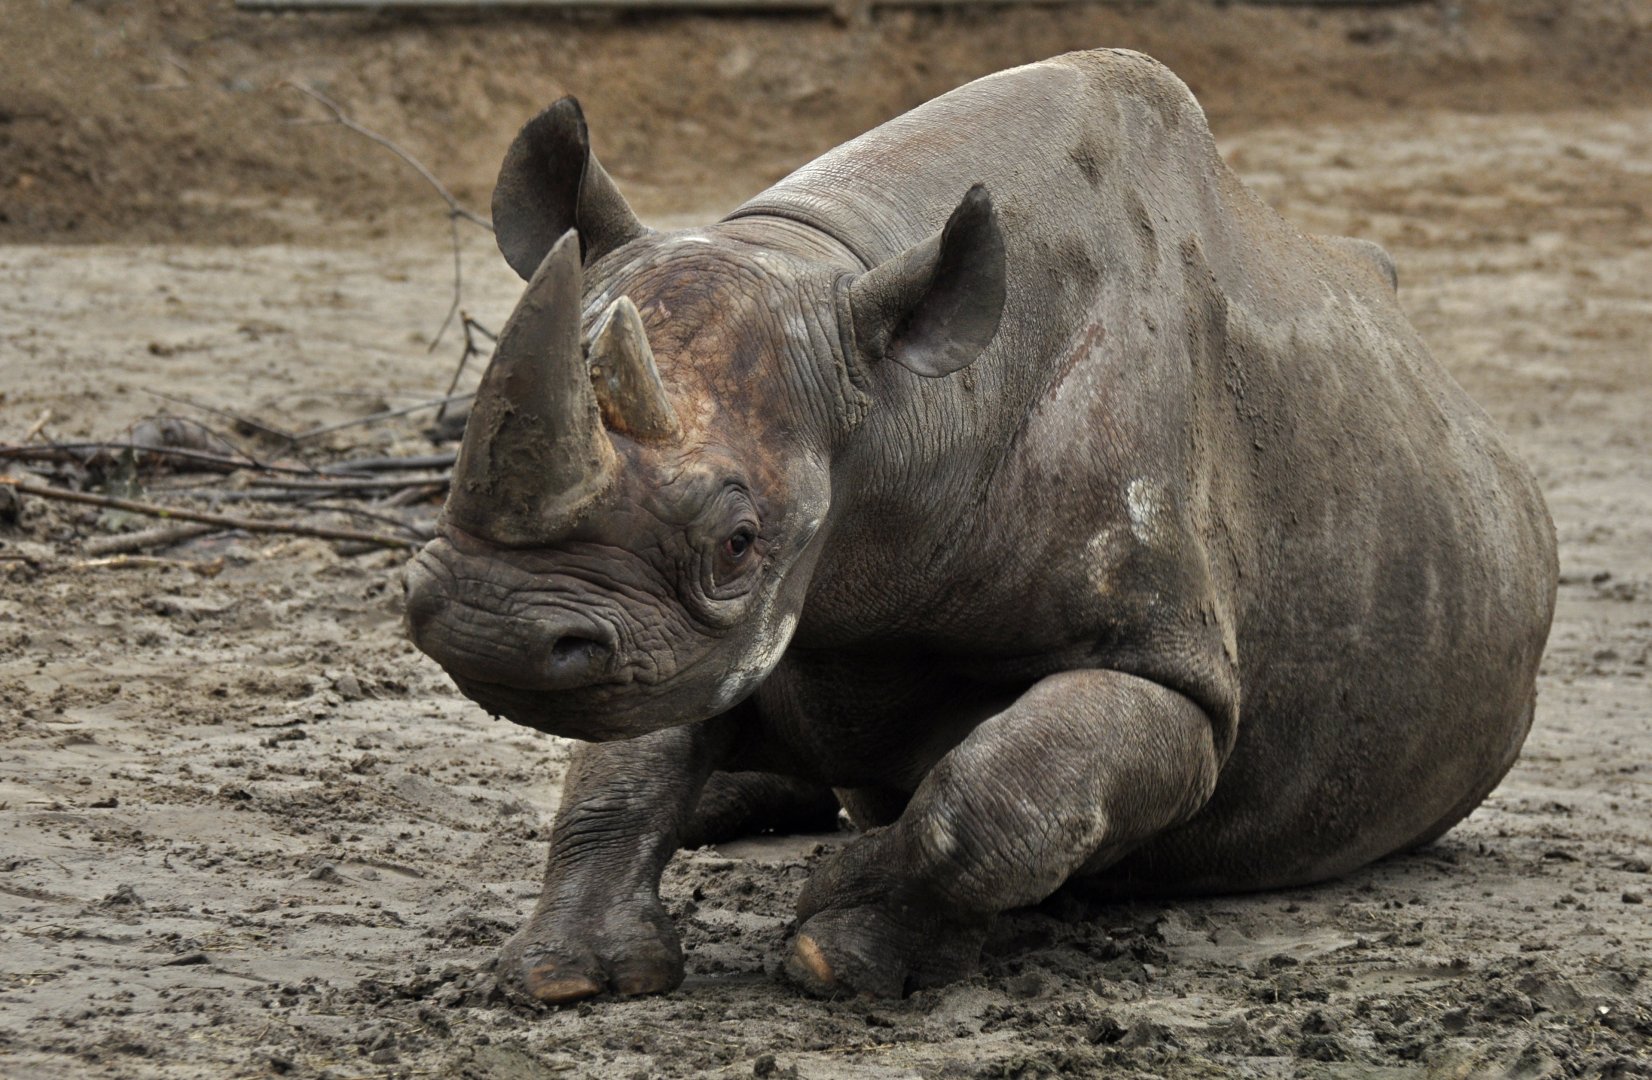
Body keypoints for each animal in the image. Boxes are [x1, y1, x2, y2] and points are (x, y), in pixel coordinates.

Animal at [404, 49, 1557, 1001]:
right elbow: (622, 762)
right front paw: (567, 974)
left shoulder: (1169, 666)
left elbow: (1001, 798)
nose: (492, 633)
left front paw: (838, 935)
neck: (903, 406)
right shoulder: (680, 637)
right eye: (456, 457)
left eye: (737, 543)